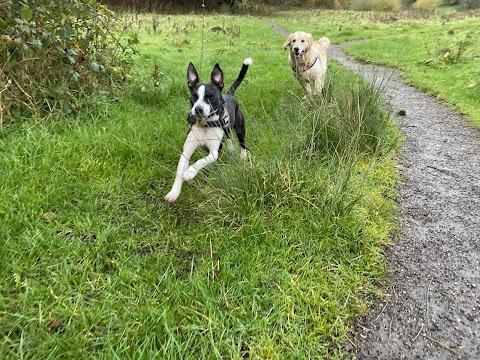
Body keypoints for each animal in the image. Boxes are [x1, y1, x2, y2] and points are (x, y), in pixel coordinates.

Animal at [164, 57, 251, 201]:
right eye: (194, 96)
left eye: (210, 96)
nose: (198, 109)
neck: (205, 125)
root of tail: (229, 94)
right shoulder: (186, 152)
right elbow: (179, 171)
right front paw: (174, 192)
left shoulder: (214, 153)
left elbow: (201, 161)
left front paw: (190, 171)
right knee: (227, 136)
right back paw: (231, 148)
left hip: (240, 128)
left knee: (242, 142)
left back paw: (243, 155)